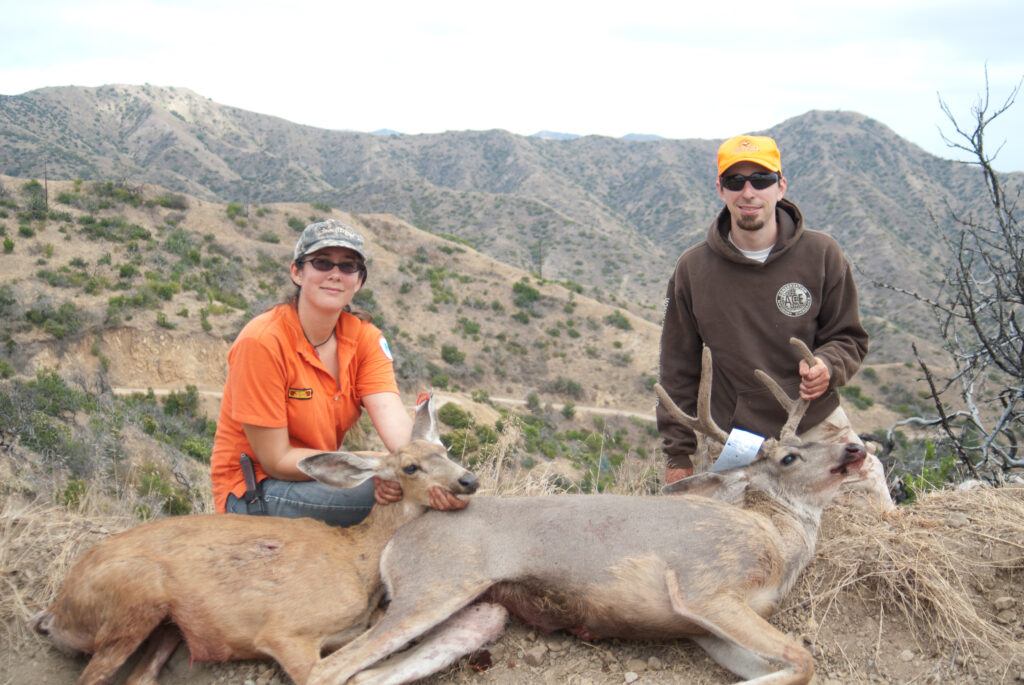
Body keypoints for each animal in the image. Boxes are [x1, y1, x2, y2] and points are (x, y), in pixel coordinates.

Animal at [29, 393, 477, 683]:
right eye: (411, 468)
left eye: (445, 449)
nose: (468, 480)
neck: (359, 557)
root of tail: (54, 612)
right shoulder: (287, 633)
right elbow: (340, 671)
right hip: (136, 595)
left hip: (168, 627)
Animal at [307, 337, 868, 683]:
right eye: (789, 456)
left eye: (817, 439)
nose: (854, 448)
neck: (773, 541)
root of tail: (401, 539)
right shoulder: (706, 587)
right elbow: (804, 659)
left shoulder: (705, 629)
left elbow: (790, 665)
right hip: (437, 584)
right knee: (329, 668)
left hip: (481, 611)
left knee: (368, 673)